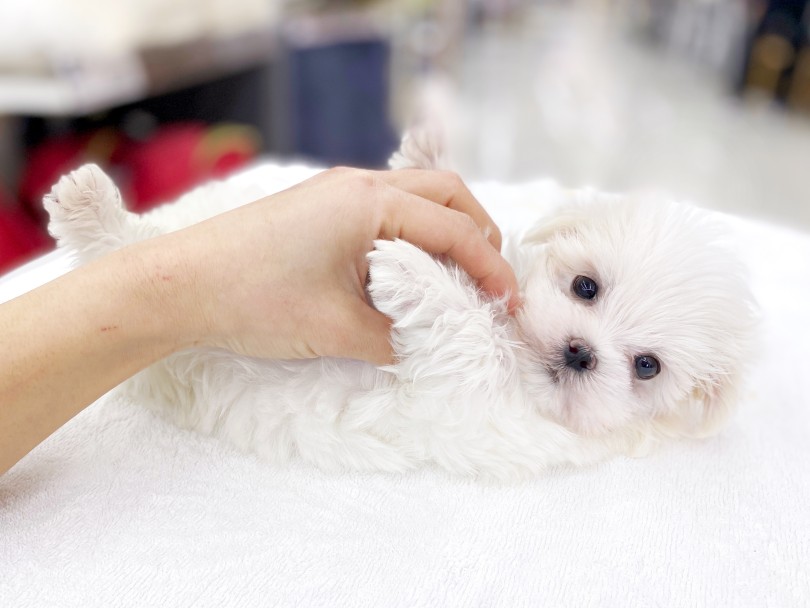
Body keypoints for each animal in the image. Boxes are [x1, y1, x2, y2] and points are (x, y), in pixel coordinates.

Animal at [42, 138, 752, 480]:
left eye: (646, 367)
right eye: (585, 287)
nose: (580, 352)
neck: (522, 351)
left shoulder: (481, 405)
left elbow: (468, 338)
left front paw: (406, 269)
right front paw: (423, 159)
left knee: (135, 258)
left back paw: (87, 212)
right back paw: (90, 202)